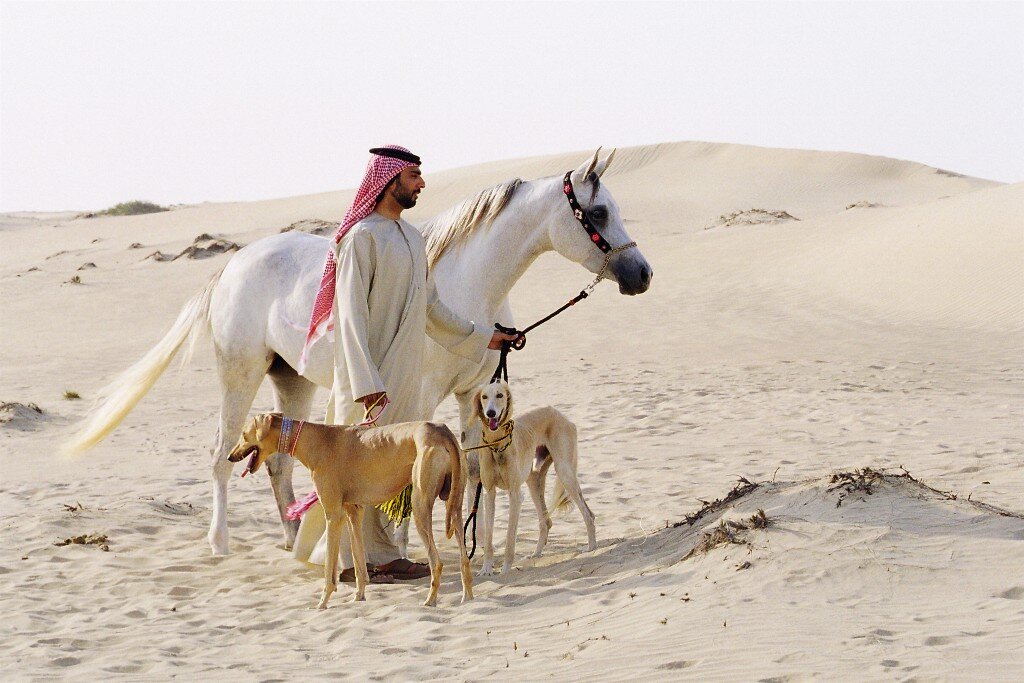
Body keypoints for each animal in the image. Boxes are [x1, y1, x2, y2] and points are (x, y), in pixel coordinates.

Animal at [68, 149, 651, 557]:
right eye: (599, 211)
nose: (641, 275)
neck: (469, 285)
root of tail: (233, 265)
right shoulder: (421, 397)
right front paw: (403, 547)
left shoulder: (472, 398)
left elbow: (473, 473)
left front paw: (473, 550)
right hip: (239, 377)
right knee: (219, 454)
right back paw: (220, 544)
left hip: (293, 382)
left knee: (279, 462)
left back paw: (292, 539)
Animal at [228, 411, 471, 610]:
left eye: (244, 434)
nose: (230, 456)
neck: (315, 439)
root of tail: (441, 430)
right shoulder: (354, 511)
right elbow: (359, 561)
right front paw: (358, 597)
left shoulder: (333, 515)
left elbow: (330, 568)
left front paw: (322, 602)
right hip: (455, 506)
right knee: (463, 557)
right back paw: (467, 597)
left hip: (421, 506)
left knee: (437, 562)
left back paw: (430, 600)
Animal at [468, 378, 598, 577]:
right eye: (484, 397)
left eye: (500, 395)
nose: (491, 413)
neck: (497, 445)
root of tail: (559, 414)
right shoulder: (490, 493)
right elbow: (489, 536)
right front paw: (486, 568)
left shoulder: (515, 494)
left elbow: (510, 537)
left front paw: (506, 568)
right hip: (533, 480)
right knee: (546, 522)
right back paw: (536, 553)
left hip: (565, 472)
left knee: (588, 514)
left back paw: (591, 547)